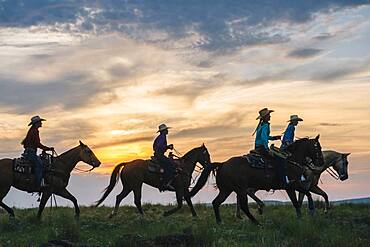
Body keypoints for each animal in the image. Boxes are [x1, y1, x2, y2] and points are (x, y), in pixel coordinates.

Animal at [189, 136, 322, 225]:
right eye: (317, 147)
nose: (321, 161)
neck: (291, 160)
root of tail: (222, 164)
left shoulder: (291, 186)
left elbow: (299, 199)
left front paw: (301, 217)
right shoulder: (292, 184)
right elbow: (304, 195)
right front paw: (310, 210)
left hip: (226, 190)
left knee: (216, 202)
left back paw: (220, 222)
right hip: (241, 190)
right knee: (243, 206)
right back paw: (256, 222)